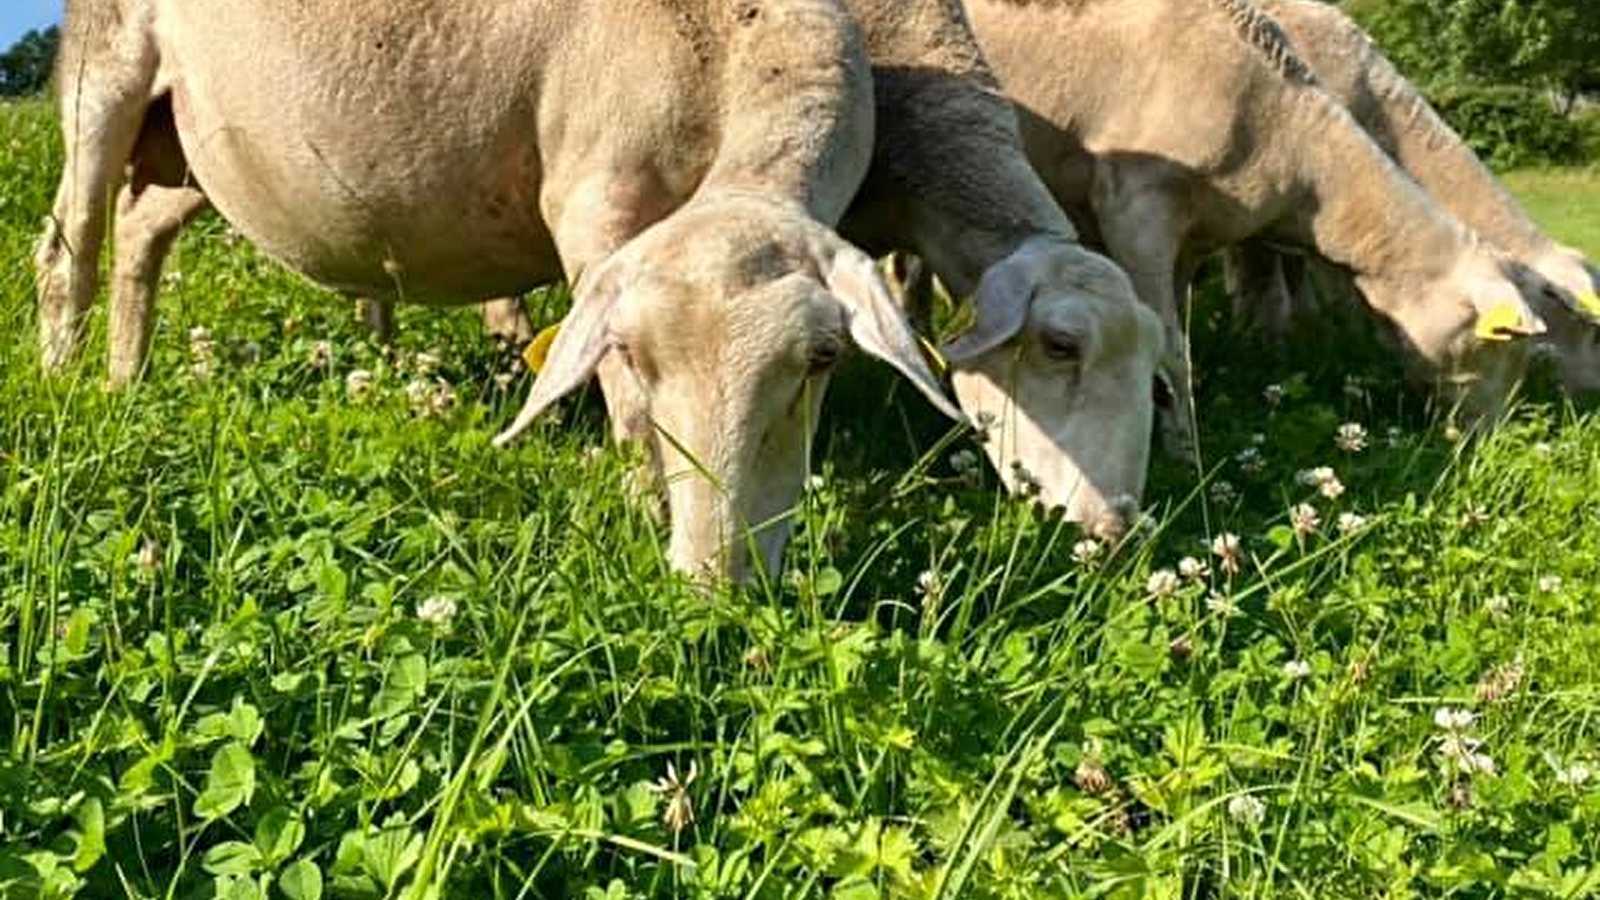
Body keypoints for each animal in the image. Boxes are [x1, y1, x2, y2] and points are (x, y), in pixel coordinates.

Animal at [37, 0, 953, 576]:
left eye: (824, 359)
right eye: (635, 351)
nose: (716, 587)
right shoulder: (592, 204)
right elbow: (627, 410)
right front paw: (645, 514)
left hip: (200, 144)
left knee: (140, 232)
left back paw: (125, 377)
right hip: (105, 71)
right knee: (68, 245)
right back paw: (62, 380)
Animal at [960, 0, 1548, 458]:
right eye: (1495, 345)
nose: (1495, 444)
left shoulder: (1191, 243)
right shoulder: (1134, 207)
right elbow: (1171, 349)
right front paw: (1185, 454)